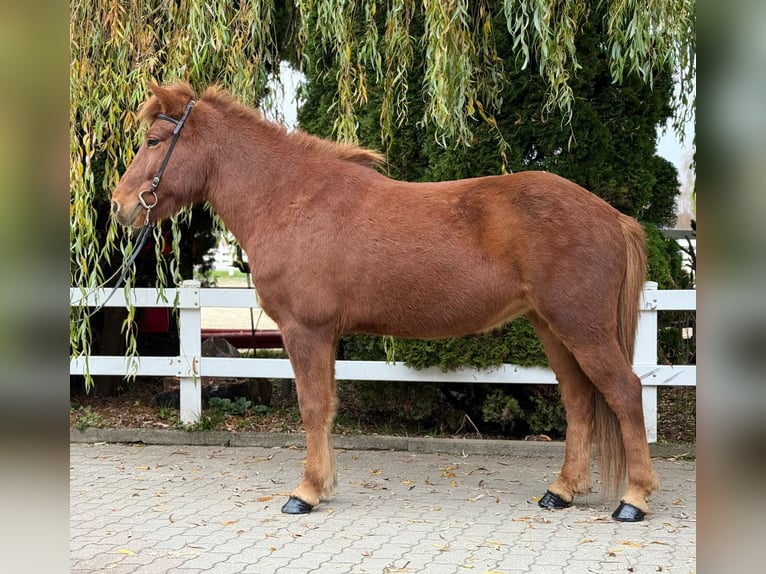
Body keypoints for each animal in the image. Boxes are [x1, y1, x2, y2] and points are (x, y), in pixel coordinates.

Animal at [112, 83, 660, 524]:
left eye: (153, 141)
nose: (120, 205)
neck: (291, 200)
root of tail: (613, 217)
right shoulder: (322, 335)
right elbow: (327, 406)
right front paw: (322, 486)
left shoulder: (305, 330)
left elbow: (313, 407)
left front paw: (305, 493)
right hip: (553, 328)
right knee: (580, 401)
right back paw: (561, 492)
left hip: (582, 328)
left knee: (626, 393)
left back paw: (633, 500)